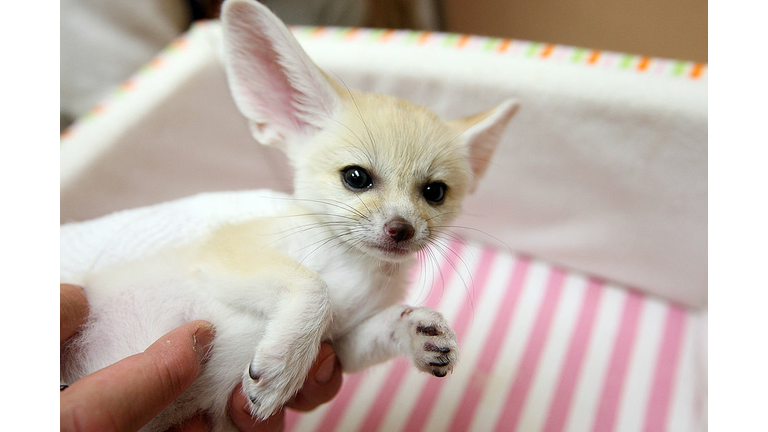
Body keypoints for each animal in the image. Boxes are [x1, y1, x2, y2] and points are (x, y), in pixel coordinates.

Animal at [60, 0, 518, 430]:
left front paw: (418, 330)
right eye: (356, 177)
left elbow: (379, 328)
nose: (400, 229)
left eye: (434, 192)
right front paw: (283, 366)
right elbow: (314, 286)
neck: (355, 268)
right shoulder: (223, 256)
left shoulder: (339, 347)